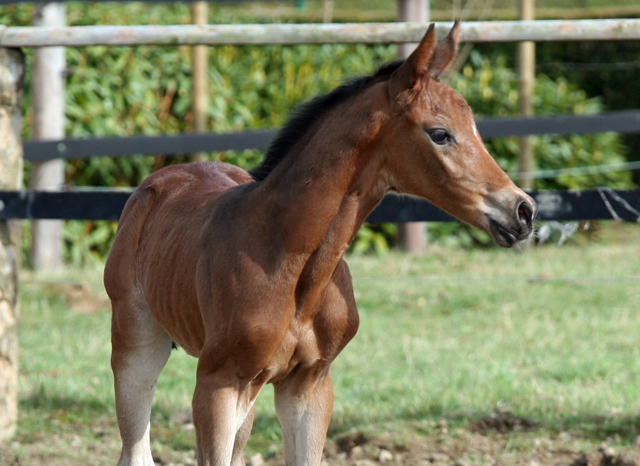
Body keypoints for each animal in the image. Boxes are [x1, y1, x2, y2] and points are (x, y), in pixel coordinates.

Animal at [105, 21, 536, 466]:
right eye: (440, 134)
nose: (522, 210)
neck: (293, 263)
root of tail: (158, 181)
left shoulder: (309, 384)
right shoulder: (218, 382)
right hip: (136, 344)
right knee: (136, 448)